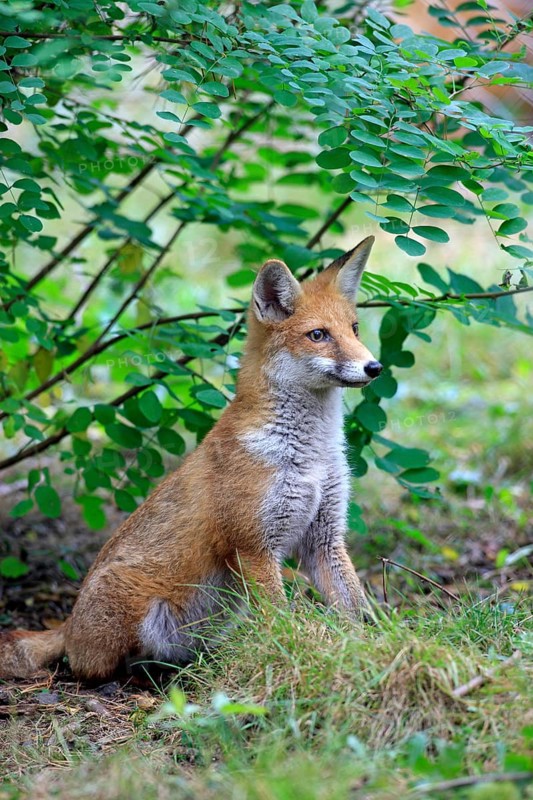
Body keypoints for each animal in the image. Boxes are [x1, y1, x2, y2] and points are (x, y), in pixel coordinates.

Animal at [0, 235, 383, 682]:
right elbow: (279, 618)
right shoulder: (253, 545)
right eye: (318, 335)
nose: (374, 367)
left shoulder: (325, 538)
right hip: (137, 608)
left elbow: (356, 610)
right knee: (93, 666)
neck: (312, 457)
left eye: (354, 329)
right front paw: (298, 654)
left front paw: (371, 651)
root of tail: (68, 622)